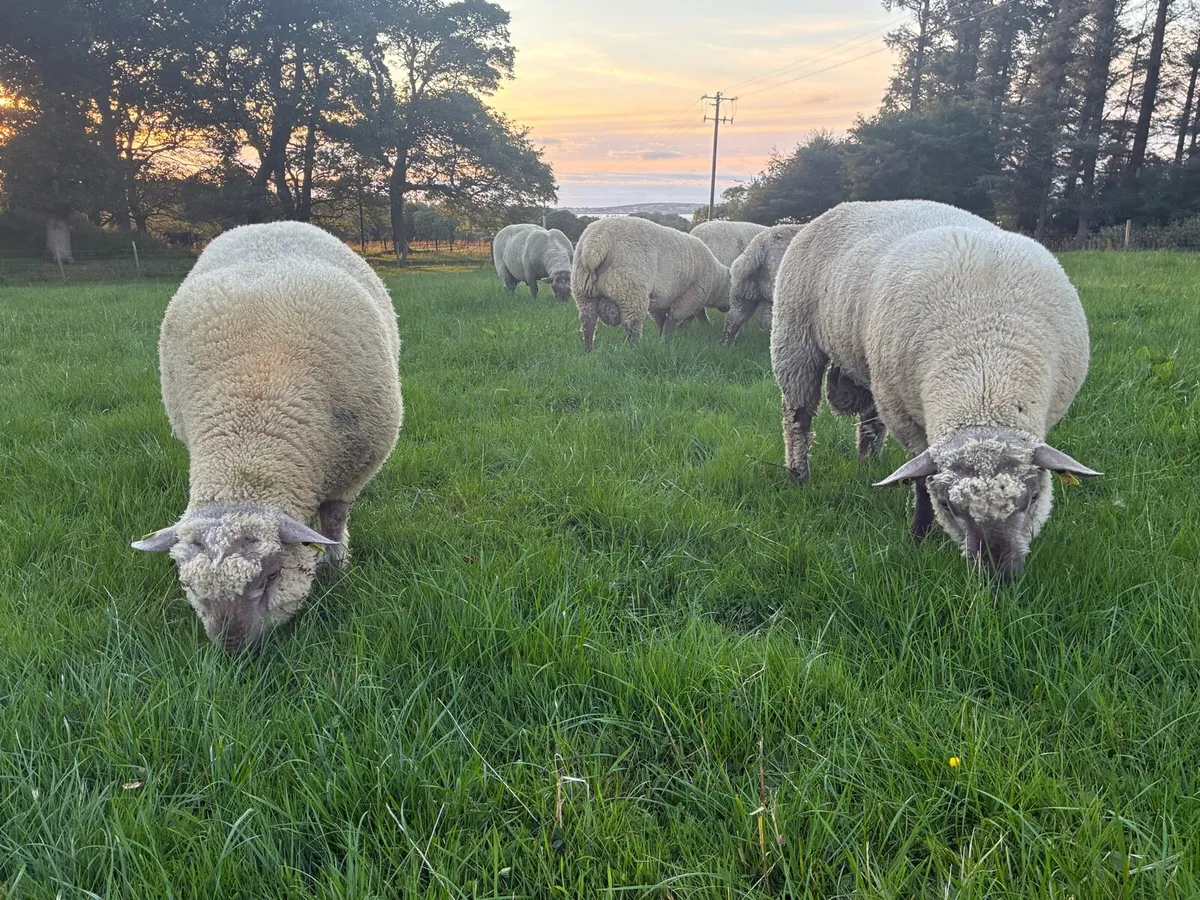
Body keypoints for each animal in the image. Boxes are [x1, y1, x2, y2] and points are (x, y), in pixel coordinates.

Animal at [132, 221, 403, 651]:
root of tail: (267, 225)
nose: (232, 648)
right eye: (189, 586)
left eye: (273, 575)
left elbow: (333, 519)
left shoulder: (355, 466)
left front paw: (337, 564)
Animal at [571, 215, 731, 351]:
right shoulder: (691, 296)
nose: (727, 308)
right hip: (630, 292)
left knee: (587, 322)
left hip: (583, 291)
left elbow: (662, 320)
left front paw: (661, 337)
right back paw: (634, 350)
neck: (716, 282)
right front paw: (667, 340)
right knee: (632, 327)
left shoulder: (661, 299)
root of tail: (597, 241)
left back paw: (588, 350)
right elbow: (677, 318)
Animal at [771, 199, 1099, 584]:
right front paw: (919, 534)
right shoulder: (909, 422)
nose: (998, 577)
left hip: (871, 366)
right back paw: (798, 475)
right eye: (948, 505)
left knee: (869, 422)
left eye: (1033, 498)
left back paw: (869, 464)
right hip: (795, 340)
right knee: (798, 418)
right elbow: (920, 483)